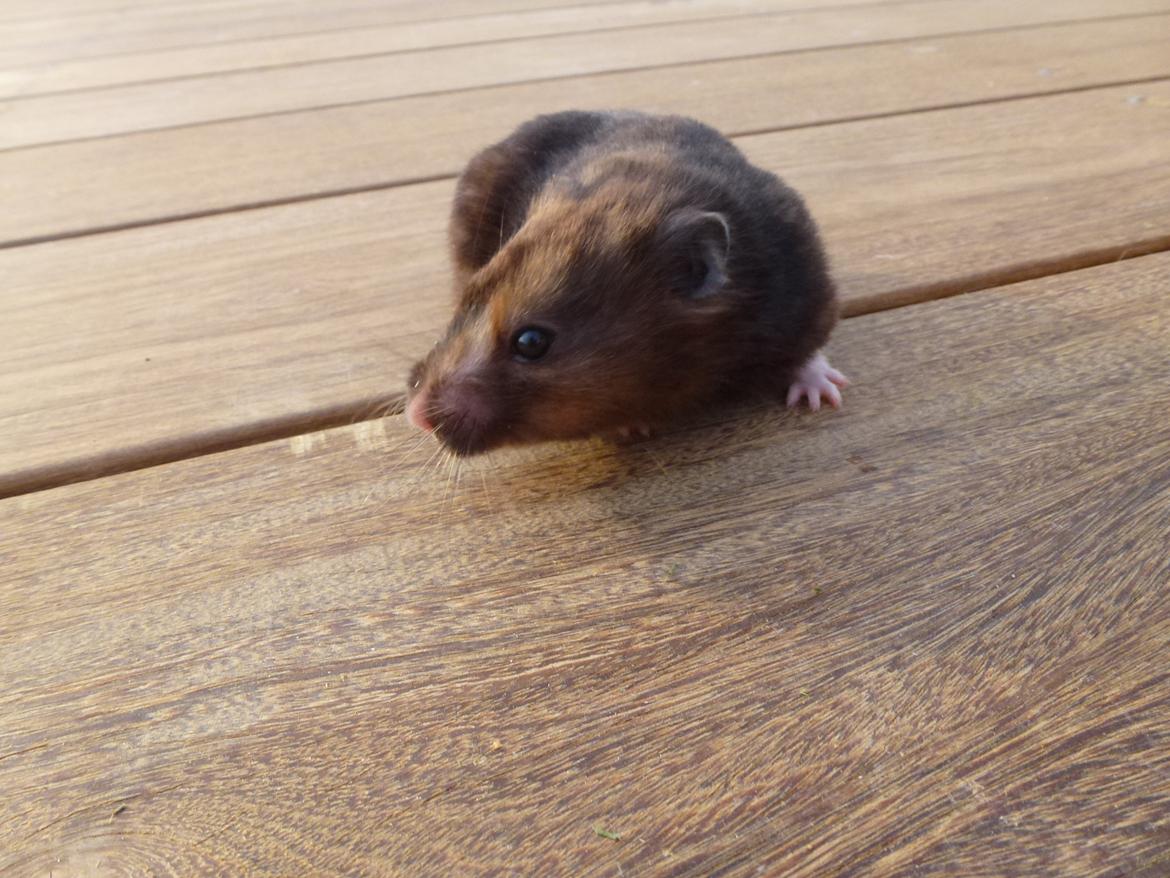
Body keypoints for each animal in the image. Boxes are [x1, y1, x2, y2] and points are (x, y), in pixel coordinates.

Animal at [405, 110, 847, 456]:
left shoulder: (806, 286)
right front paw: (628, 426)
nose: (415, 416)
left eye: (531, 342)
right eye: (466, 299)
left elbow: (809, 351)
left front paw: (823, 397)